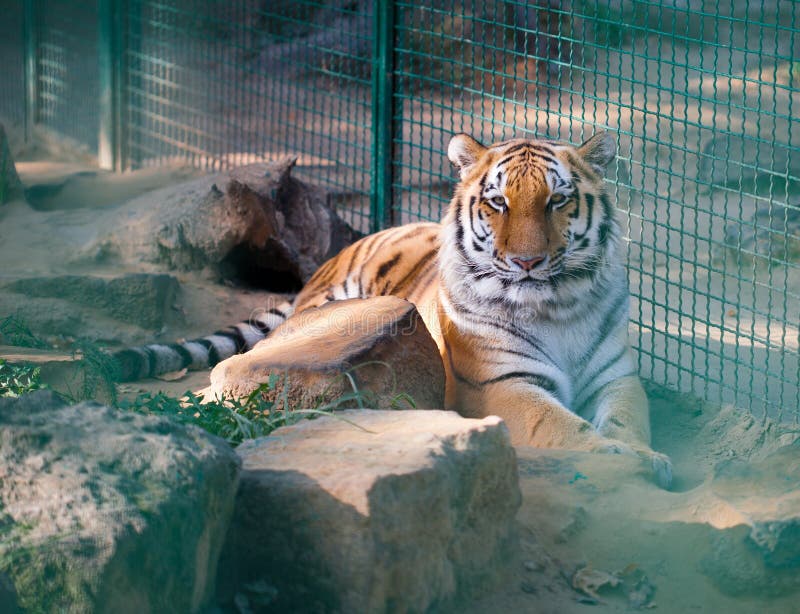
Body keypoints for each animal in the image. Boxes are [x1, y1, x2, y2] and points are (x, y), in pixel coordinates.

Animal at [115, 131, 673, 488]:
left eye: (557, 201)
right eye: (498, 203)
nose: (527, 262)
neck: (557, 309)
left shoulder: (617, 378)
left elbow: (627, 419)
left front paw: (644, 453)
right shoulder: (501, 384)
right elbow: (562, 427)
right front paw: (623, 459)